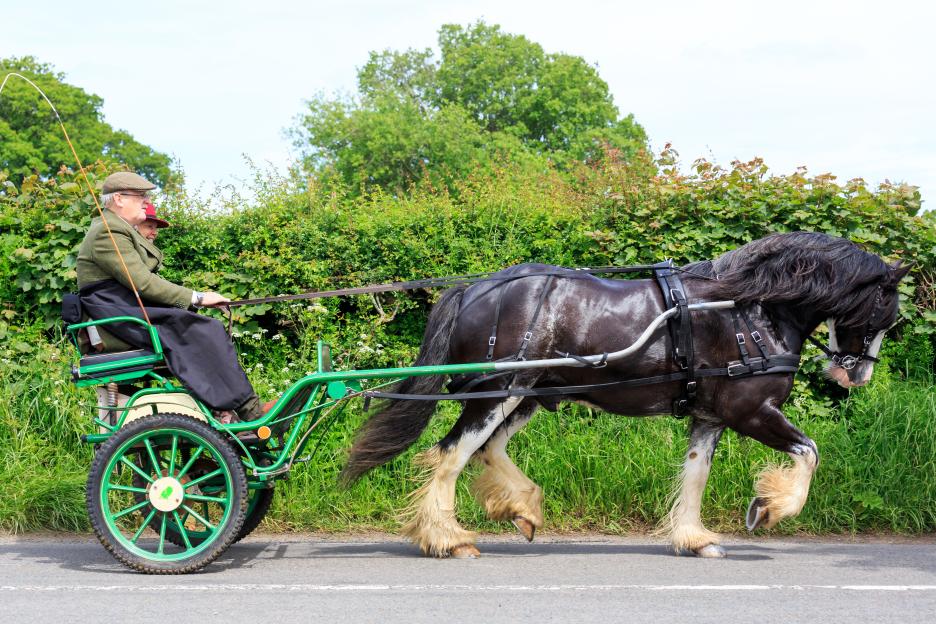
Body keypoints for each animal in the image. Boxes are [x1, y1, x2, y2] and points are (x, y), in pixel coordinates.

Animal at [340, 232, 909, 558]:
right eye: (886, 311)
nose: (856, 376)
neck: (751, 310)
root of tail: (474, 288)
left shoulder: (710, 415)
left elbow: (695, 474)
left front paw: (694, 538)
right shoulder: (751, 411)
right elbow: (810, 453)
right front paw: (768, 509)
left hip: (528, 394)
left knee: (487, 449)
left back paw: (522, 508)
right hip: (497, 392)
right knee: (450, 454)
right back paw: (448, 538)